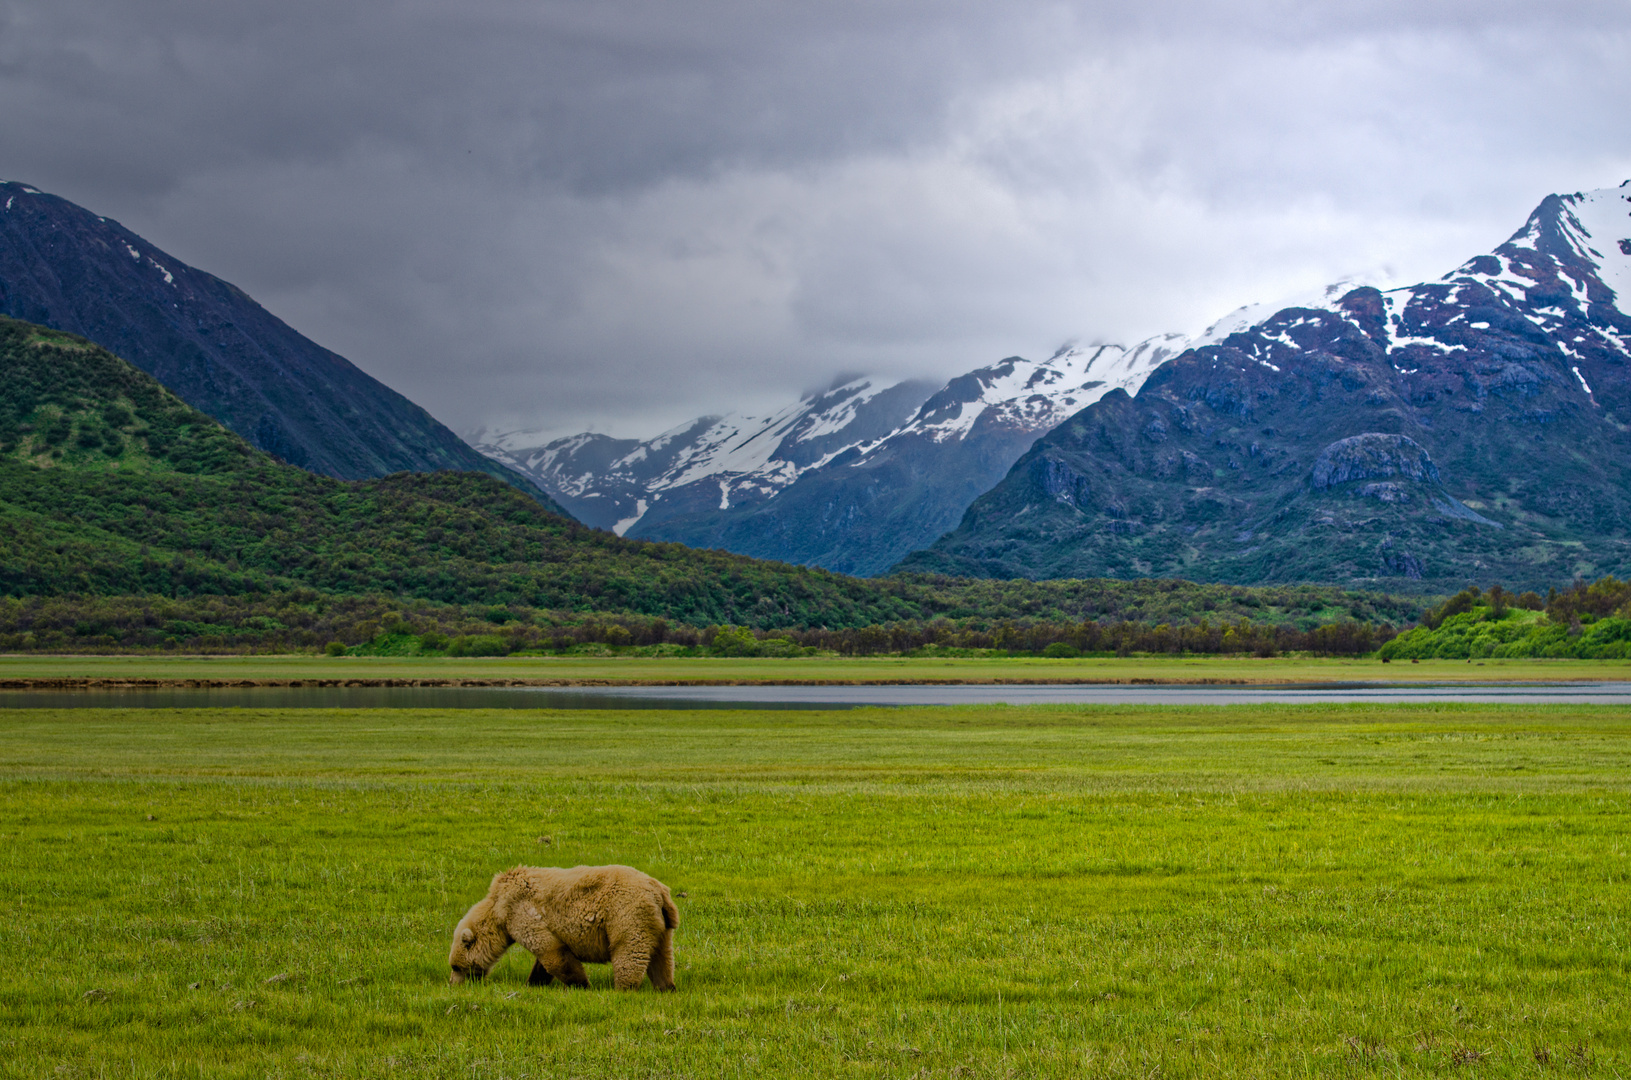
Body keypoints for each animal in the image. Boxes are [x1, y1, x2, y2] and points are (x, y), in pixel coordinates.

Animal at [443, 867, 678, 991]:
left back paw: (623, 988)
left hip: (627, 915)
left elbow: (552, 952)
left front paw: (581, 984)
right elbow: (543, 960)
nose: (452, 983)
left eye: (456, 966)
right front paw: (534, 982)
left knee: (629, 952)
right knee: (662, 957)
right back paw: (666, 986)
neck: (498, 909)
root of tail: (660, 891)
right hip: (660, 925)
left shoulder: (522, 912)